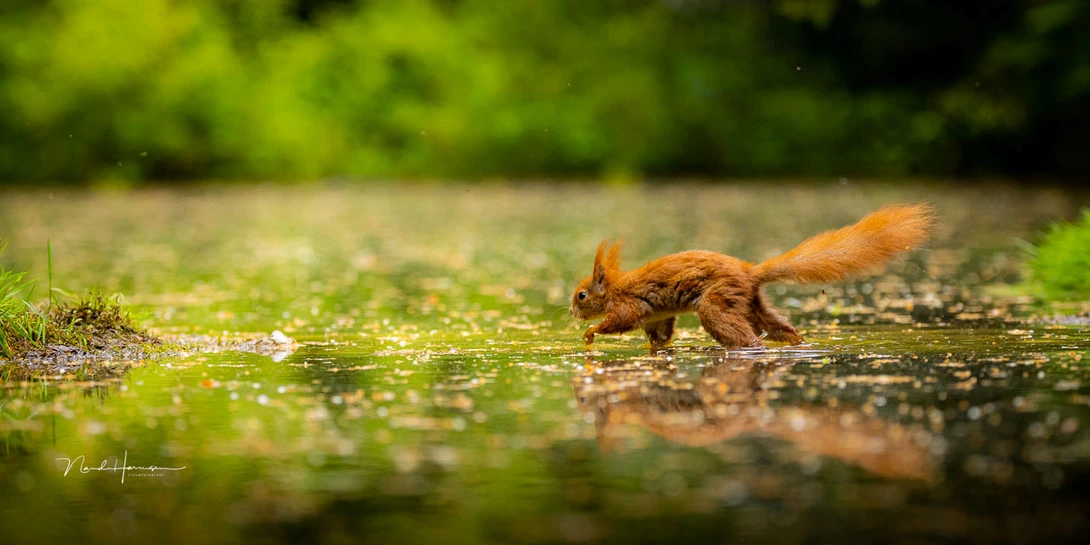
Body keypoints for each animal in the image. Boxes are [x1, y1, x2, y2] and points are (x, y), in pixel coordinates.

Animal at [569, 203, 935, 349]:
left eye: (582, 295)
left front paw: (589, 333)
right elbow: (660, 335)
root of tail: (749, 272)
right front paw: (656, 349)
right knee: (778, 327)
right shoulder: (656, 315)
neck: (615, 287)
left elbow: (619, 321)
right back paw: (798, 342)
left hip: (717, 302)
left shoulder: (629, 306)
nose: (571, 312)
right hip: (752, 304)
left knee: (747, 338)